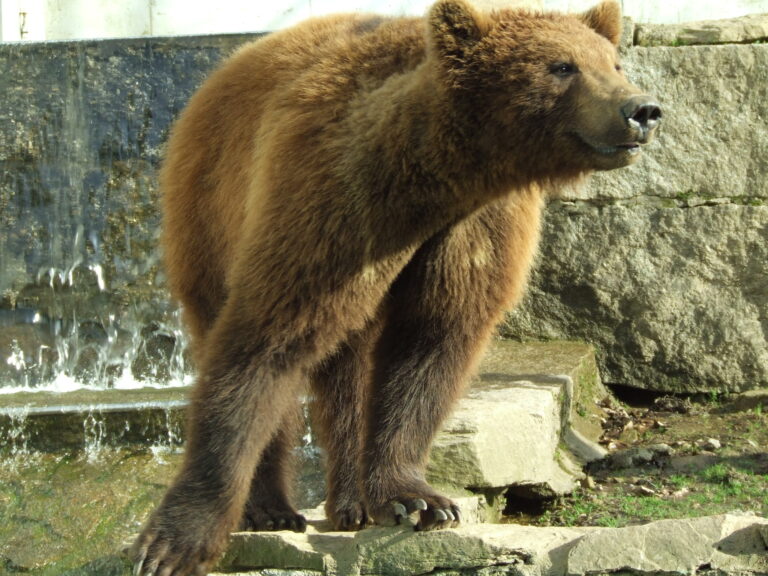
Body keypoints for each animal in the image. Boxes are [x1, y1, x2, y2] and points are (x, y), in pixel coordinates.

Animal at [133, 0, 661, 574]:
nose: (642, 109)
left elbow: (431, 346)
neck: (433, 179)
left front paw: (417, 500)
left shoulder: (473, 230)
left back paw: (351, 503)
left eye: (613, 63)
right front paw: (173, 543)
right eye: (562, 66)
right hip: (210, 211)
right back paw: (273, 508)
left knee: (348, 369)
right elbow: (267, 340)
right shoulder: (334, 202)